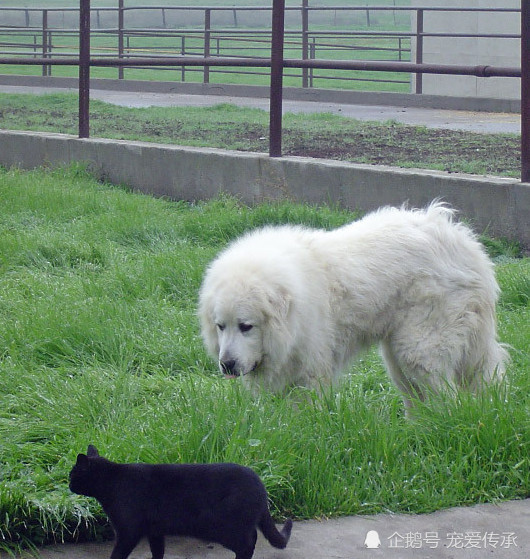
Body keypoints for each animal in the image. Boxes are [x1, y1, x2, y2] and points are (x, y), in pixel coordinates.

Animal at [68, 446, 290, 559]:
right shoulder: (155, 531)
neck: (112, 482)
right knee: (252, 537)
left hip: (220, 527)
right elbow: (158, 552)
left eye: (72, 475)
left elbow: (118, 553)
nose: (68, 484)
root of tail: (260, 484)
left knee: (247, 543)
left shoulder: (128, 531)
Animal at [198, 203, 508, 410]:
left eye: (246, 326)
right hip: (398, 357)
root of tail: (465, 241)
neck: (293, 314)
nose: (227, 364)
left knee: (447, 398)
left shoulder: (311, 369)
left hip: (420, 348)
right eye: (220, 326)